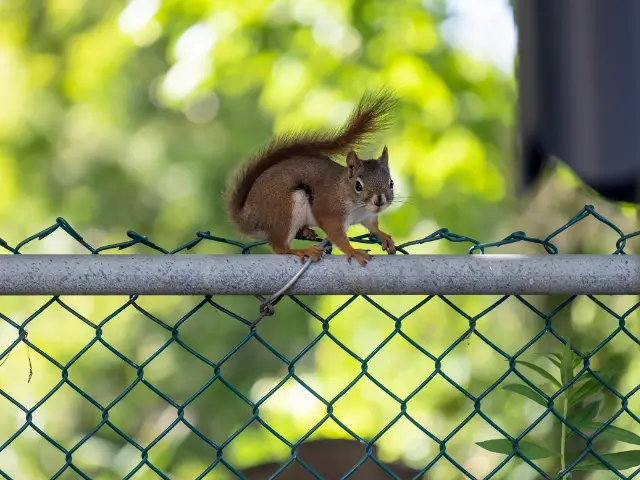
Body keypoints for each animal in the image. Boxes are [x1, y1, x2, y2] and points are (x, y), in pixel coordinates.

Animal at [224, 89, 396, 266]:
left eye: (391, 183)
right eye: (358, 186)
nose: (379, 201)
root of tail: (247, 217)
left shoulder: (368, 216)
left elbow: (373, 226)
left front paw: (383, 236)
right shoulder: (329, 211)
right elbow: (337, 236)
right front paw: (352, 251)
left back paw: (306, 231)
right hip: (283, 210)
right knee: (280, 247)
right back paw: (301, 250)